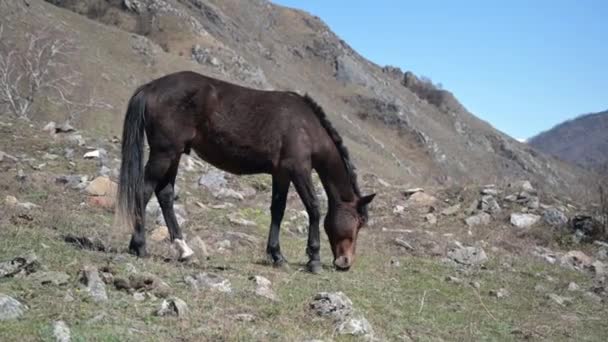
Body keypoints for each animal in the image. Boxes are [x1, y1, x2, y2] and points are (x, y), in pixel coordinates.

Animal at [113, 70, 370, 272]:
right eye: (359, 222)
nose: (345, 262)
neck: (306, 127)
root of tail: (150, 87)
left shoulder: (281, 174)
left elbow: (278, 211)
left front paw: (277, 256)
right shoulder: (299, 169)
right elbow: (314, 208)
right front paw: (313, 259)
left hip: (174, 155)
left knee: (165, 194)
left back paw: (184, 251)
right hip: (164, 153)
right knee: (144, 191)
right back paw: (139, 246)